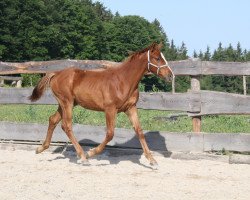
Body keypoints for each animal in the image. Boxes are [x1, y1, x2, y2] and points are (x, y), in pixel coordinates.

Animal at [29, 43, 173, 166]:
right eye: (157, 58)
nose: (170, 76)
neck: (123, 81)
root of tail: (56, 73)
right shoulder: (110, 109)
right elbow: (110, 134)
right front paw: (91, 153)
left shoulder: (130, 108)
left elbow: (139, 131)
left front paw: (152, 161)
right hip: (67, 103)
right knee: (66, 125)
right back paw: (83, 157)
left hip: (65, 104)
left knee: (52, 120)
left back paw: (41, 148)